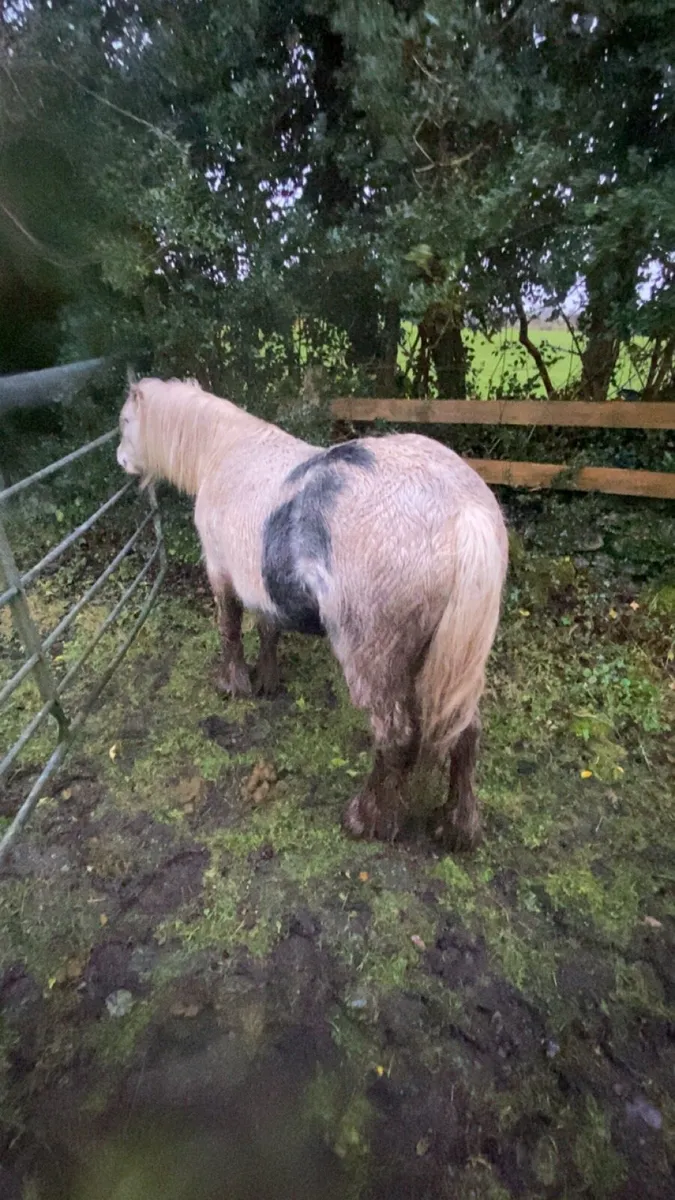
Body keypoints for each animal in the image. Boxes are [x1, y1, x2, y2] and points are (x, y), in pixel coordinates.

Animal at [116, 377, 508, 850]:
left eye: (125, 421)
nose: (120, 459)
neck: (223, 450)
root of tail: (463, 513)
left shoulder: (220, 572)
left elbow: (230, 628)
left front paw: (234, 683)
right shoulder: (261, 588)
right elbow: (267, 628)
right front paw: (266, 680)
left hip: (372, 659)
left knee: (396, 738)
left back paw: (366, 819)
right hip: (446, 664)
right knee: (464, 732)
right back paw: (456, 826)